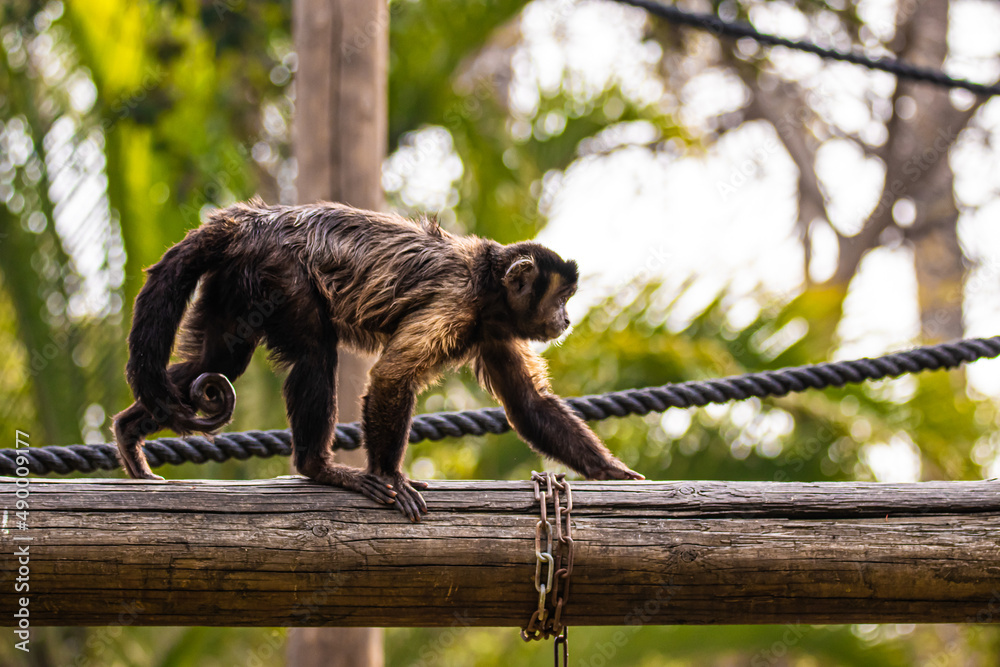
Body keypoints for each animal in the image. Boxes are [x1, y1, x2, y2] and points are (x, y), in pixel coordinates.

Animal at [113, 198, 643, 521]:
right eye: (560, 298)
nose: (566, 319)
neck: (489, 289)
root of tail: (251, 220)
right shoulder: (456, 301)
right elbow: (391, 378)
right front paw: (389, 475)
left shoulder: (493, 327)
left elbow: (528, 402)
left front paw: (610, 473)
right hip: (273, 271)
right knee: (312, 349)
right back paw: (318, 467)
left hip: (234, 281)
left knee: (217, 360)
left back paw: (128, 430)